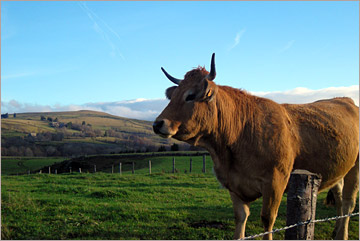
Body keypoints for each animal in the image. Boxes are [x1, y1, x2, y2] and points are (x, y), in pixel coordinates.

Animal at [153, 53, 358, 239]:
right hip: (338, 169)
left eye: (190, 96)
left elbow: (268, 220)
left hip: (355, 168)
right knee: (339, 197)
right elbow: (240, 218)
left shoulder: (275, 182)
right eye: (173, 96)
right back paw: (336, 230)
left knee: (348, 203)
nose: (157, 124)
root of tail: (344, 99)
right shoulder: (233, 184)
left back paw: (342, 234)